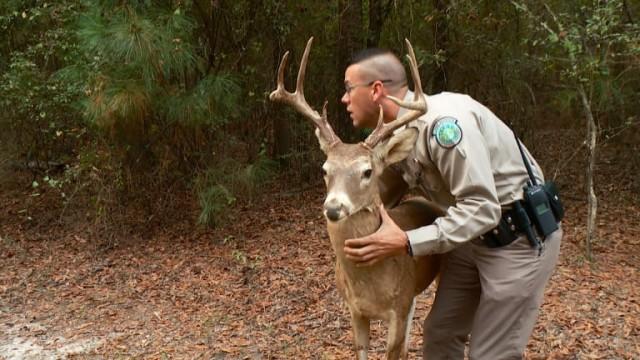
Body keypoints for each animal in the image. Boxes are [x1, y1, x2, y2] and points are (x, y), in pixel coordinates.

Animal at [268, 38, 442, 358]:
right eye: (325, 169)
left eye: (367, 171)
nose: (333, 207)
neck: (370, 285)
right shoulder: (355, 310)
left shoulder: (398, 307)